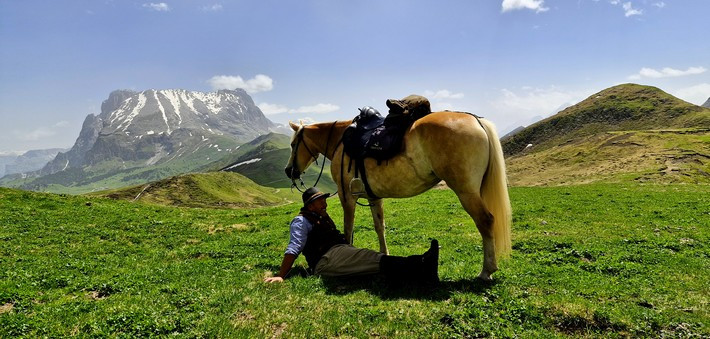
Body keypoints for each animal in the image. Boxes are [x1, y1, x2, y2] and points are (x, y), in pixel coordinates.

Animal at [286, 113, 516, 280]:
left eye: (293, 144)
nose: (289, 171)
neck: (341, 141)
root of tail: (477, 120)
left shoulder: (346, 196)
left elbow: (348, 228)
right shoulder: (373, 197)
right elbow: (379, 227)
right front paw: (384, 254)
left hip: (466, 192)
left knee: (486, 221)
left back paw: (486, 271)